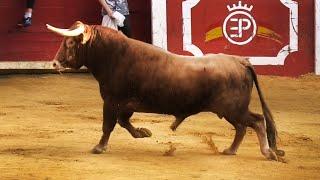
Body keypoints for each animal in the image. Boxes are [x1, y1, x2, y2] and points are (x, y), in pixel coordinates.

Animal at [48, 21, 284, 160]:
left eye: (70, 43)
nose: (54, 63)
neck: (113, 55)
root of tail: (241, 61)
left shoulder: (111, 101)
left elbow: (108, 125)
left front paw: (99, 147)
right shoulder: (125, 104)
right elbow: (124, 122)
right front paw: (143, 132)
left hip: (233, 109)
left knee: (256, 121)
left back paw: (267, 152)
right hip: (230, 110)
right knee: (242, 127)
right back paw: (231, 150)